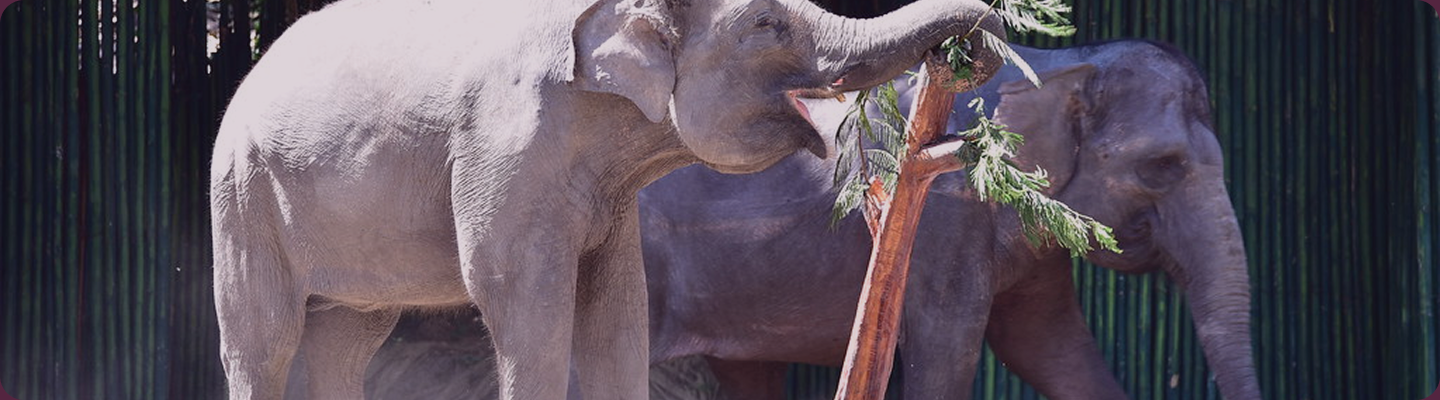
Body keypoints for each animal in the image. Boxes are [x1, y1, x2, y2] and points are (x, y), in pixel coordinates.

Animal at [207, 0, 1007, 398]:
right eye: (766, 25)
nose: (980, 44)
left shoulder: (610, 199)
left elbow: (616, 315)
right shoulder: (509, 153)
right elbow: (524, 308)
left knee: (349, 337)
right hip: (242, 195)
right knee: (264, 342)